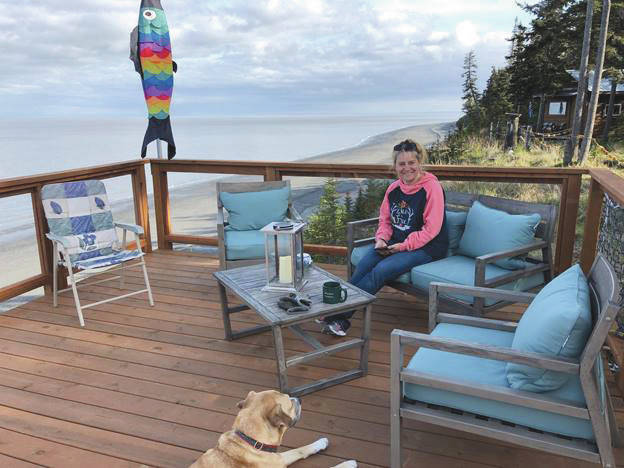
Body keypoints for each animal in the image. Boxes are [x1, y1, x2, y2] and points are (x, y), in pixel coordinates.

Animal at [189, 392, 356, 468]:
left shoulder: (278, 457)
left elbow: (298, 450)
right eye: (290, 404)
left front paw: (320, 443)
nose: (300, 399)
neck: (251, 442)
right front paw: (348, 464)